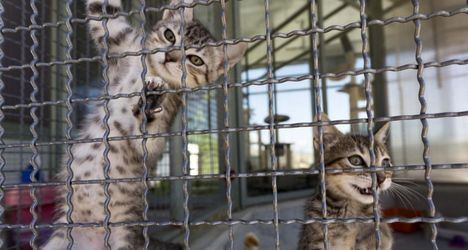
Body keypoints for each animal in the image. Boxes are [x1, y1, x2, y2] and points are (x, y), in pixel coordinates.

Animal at [42, 0, 247, 249]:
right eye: (169, 35)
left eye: (196, 60)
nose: (169, 57)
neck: (150, 71)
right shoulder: (124, 44)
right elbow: (101, 11)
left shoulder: (167, 110)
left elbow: (149, 143)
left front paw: (149, 108)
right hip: (60, 236)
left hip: (125, 235)